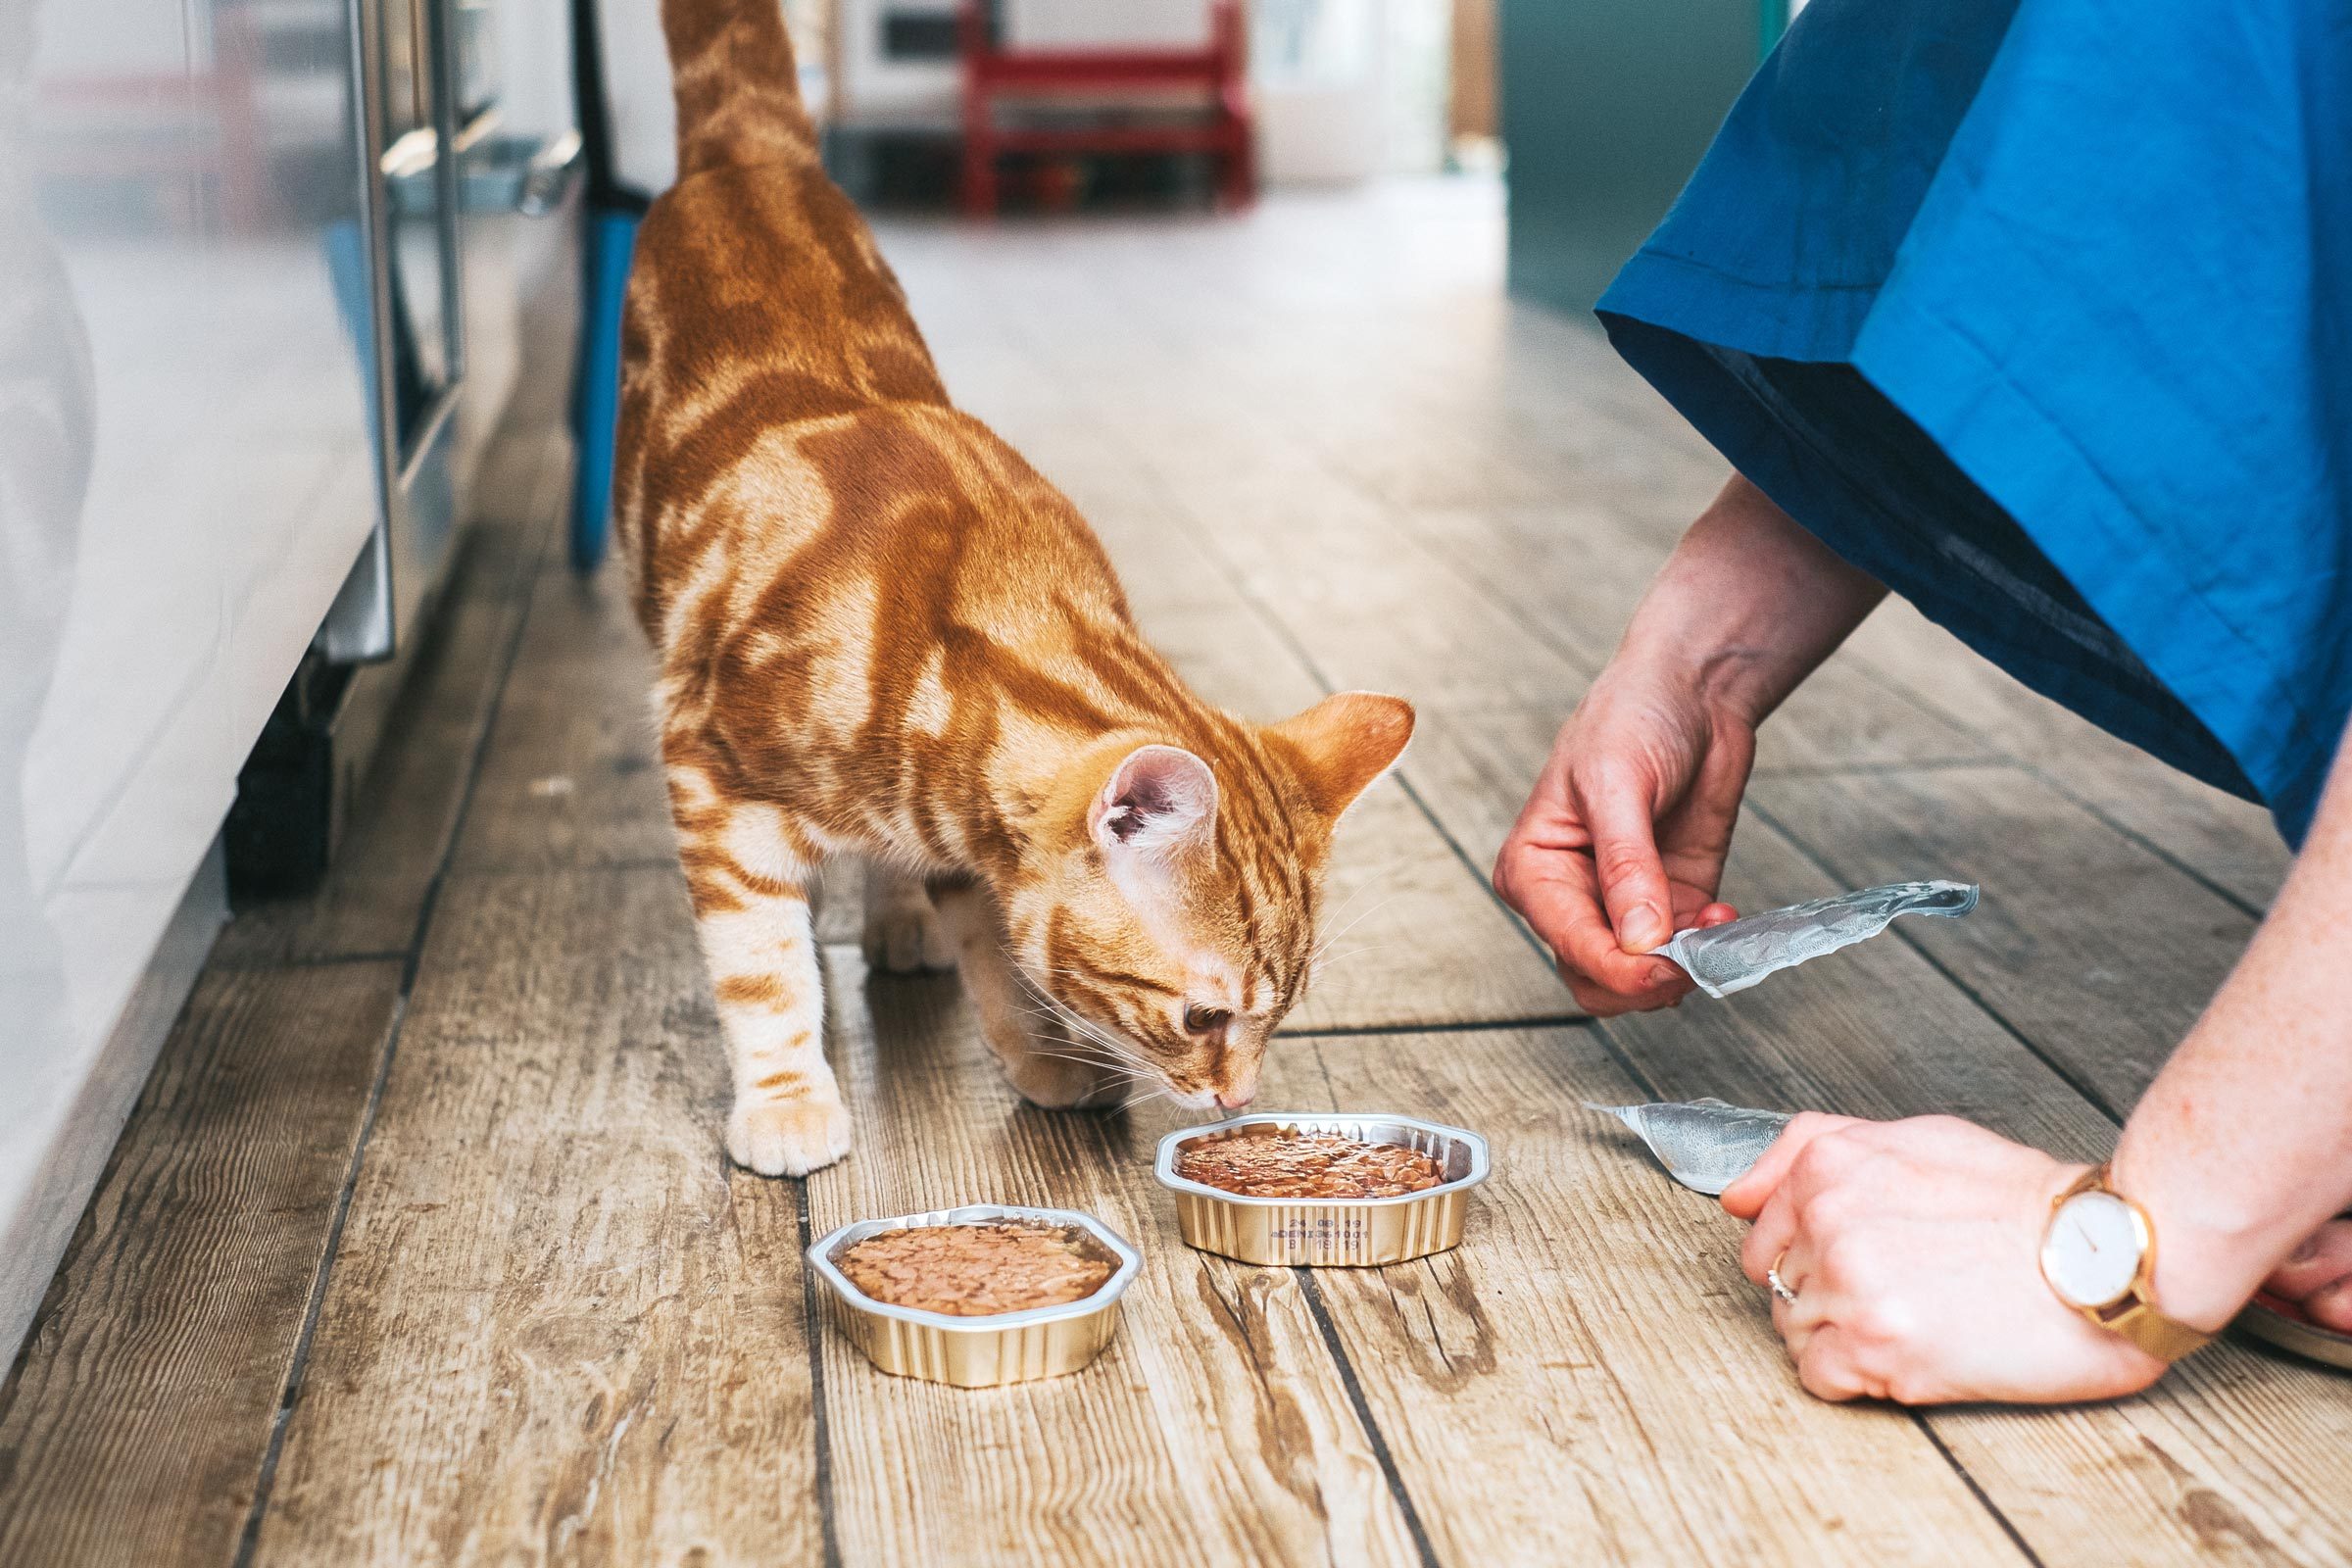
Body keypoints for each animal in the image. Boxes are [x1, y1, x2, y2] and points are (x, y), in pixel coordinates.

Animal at [615, 0, 1401, 1175]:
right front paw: (788, 1097)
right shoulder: (711, 773)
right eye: (1203, 1016)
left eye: (1283, 1013)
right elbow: (764, 966)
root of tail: (747, 153)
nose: (1236, 1100)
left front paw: (1036, 1052)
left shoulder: (969, 838)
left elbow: (1001, 952)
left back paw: (898, 920)